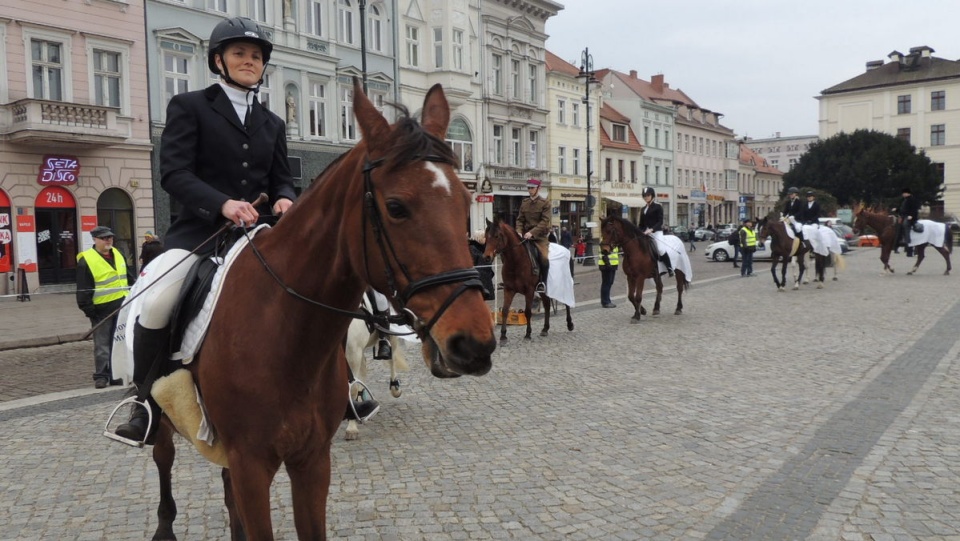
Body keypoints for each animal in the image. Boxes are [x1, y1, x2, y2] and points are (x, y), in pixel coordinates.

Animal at [342, 292, 408, 438]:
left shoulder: (353, 352)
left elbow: (351, 389)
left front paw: (351, 428)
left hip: (390, 335)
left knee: (392, 359)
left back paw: (395, 388)